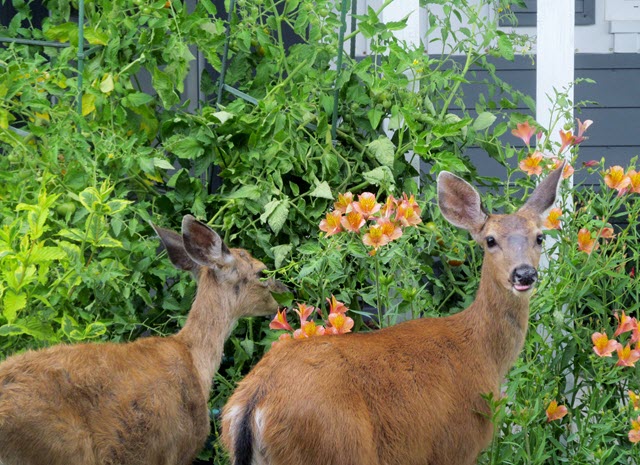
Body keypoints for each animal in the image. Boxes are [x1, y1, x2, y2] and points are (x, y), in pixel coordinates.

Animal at [221, 163, 564, 464]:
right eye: (490, 240)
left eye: (539, 237)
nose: (524, 274)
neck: (484, 353)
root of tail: (254, 403)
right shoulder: (458, 444)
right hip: (337, 448)